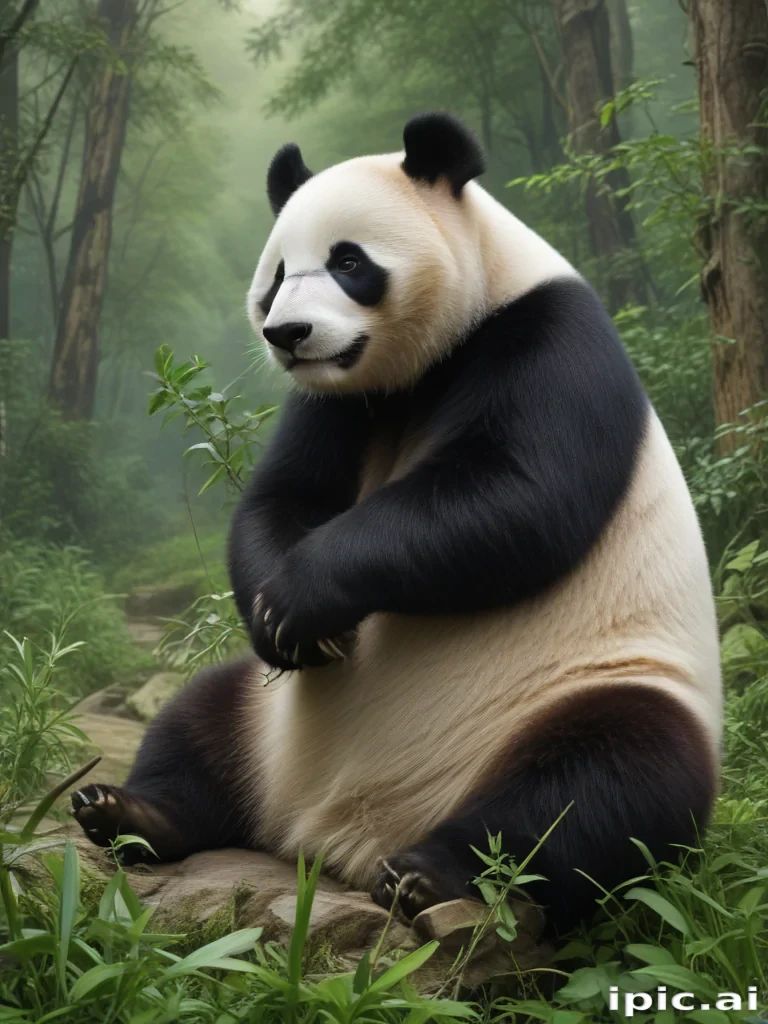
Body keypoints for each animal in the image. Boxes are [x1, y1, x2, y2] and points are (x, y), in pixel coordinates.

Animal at [73, 113, 722, 933]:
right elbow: (284, 495)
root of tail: (328, 837)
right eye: (278, 274)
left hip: (589, 686)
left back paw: (433, 874)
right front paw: (287, 623)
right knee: (199, 718)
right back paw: (123, 811)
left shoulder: (549, 343)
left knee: (602, 785)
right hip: (264, 712)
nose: (289, 334)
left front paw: (302, 600)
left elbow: (514, 496)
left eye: (349, 261)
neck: (425, 363)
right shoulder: (338, 400)